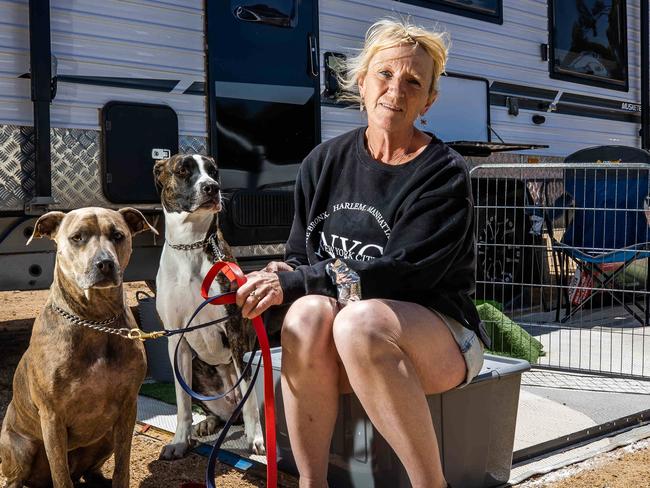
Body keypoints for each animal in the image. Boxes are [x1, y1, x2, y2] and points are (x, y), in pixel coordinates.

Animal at [0, 207, 156, 488]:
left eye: (118, 235)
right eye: (77, 237)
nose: (105, 263)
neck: (96, 320)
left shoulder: (128, 406)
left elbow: (122, 467)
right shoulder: (52, 417)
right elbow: (61, 475)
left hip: (105, 438)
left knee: (91, 469)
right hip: (20, 448)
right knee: (18, 478)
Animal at [153, 154, 264, 460]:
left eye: (214, 172)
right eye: (183, 170)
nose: (211, 188)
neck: (190, 245)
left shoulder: (236, 331)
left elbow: (250, 399)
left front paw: (257, 439)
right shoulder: (176, 339)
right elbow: (182, 403)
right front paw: (180, 440)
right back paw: (207, 423)